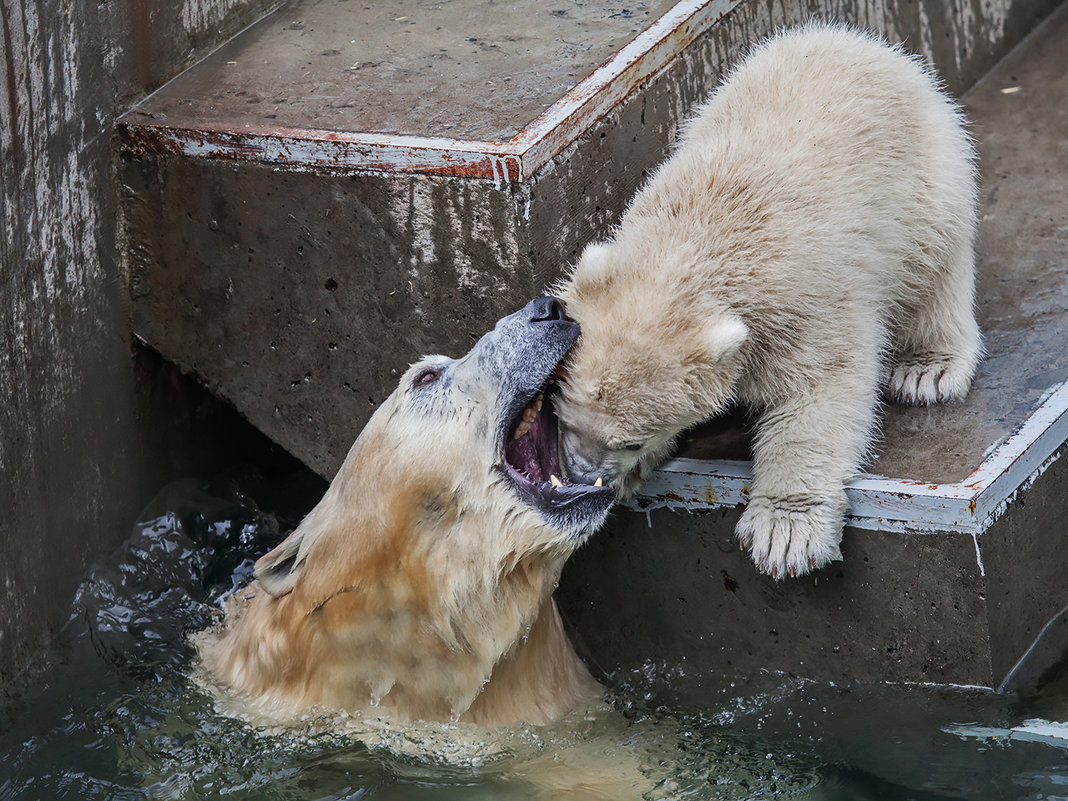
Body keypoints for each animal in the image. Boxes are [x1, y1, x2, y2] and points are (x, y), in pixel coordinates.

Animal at [555, 21, 978, 580]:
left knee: (934, 270)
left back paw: (926, 367)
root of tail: (859, 41)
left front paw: (785, 533)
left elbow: (817, 393)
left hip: (925, 188)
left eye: (631, 439)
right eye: (566, 407)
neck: (696, 242)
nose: (581, 473)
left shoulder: (800, 306)